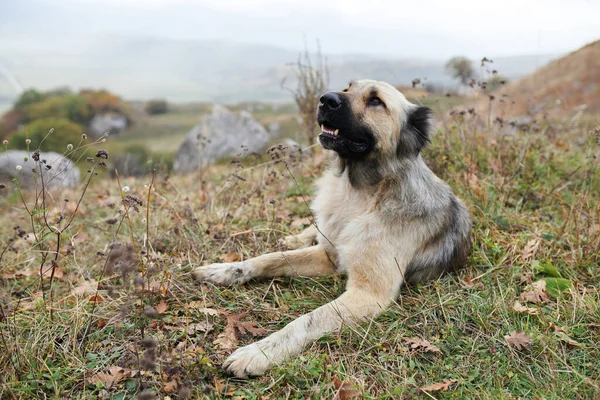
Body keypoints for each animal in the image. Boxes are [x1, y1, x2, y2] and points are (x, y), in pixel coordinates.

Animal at [195, 79, 472, 378]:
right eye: (348, 87)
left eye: (376, 101)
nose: (325, 99)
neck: (361, 194)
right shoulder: (329, 257)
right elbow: (268, 259)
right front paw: (225, 270)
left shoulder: (367, 293)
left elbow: (306, 320)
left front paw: (259, 352)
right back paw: (295, 237)